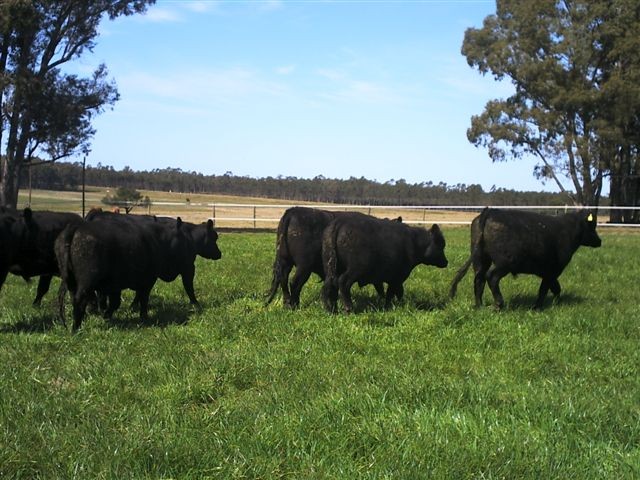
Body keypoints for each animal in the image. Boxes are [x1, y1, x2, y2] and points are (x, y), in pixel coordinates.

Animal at [266, 207, 398, 308]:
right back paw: (294, 305)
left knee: (283, 280)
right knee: (295, 283)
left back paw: (287, 304)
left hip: (285, 261)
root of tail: (293, 211)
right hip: (304, 266)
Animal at [449, 208, 602, 309]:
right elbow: (546, 288)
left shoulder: (547, 272)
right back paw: (499, 304)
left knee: (479, 279)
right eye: (592, 226)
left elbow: (554, 288)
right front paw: (538, 307)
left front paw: (556, 303)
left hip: (481, 259)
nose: (599, 241)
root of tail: (491, 211)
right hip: (504, 263)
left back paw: (479, 306)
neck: (568, 230)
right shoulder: (553, 270)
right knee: (491, 277)